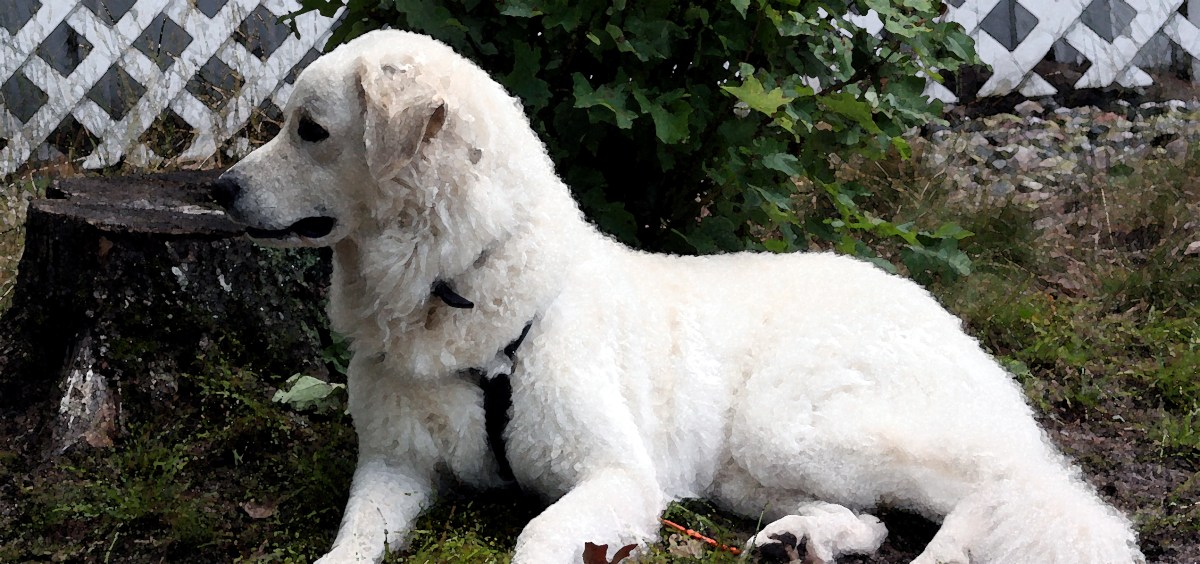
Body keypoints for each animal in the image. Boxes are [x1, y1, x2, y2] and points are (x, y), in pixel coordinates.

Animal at [213, 29, 1144, 563]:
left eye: (311, 130)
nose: (220, 188)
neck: (464, 293)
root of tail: (935, 307)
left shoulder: (617, 475)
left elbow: (537, 534)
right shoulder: (393, 465)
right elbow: (348, 546)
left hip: (797, 424)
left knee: (1000, 492)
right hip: (748, 466)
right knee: (879, 516)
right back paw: (801, 542)